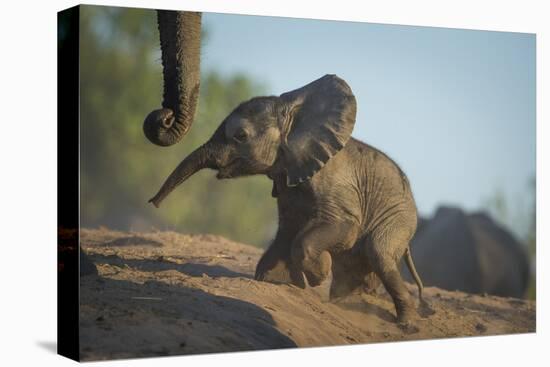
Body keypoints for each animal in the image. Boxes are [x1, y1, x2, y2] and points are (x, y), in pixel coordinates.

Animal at [151, 75, 426, 324]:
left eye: (240, 135)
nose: (153, 202)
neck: (295, 117)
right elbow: (288, 228)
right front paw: (278, 281)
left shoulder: (335, 184)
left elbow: (341, 228)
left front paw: (318, 275)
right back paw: (347, 300)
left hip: (399, 218)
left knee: (378, 251)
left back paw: (405, 324)